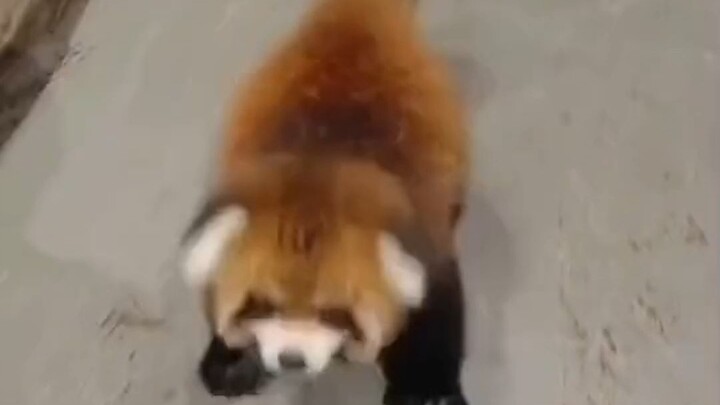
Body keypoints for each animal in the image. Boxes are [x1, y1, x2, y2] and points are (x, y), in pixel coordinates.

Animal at [180, 0, 470, 404]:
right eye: (263, 305)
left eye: (333, 313)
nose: (291, 360)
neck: (319, 166)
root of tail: (352, 22)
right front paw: (230, 360)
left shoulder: (427, 238)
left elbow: (435, 317)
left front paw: (426, 391)